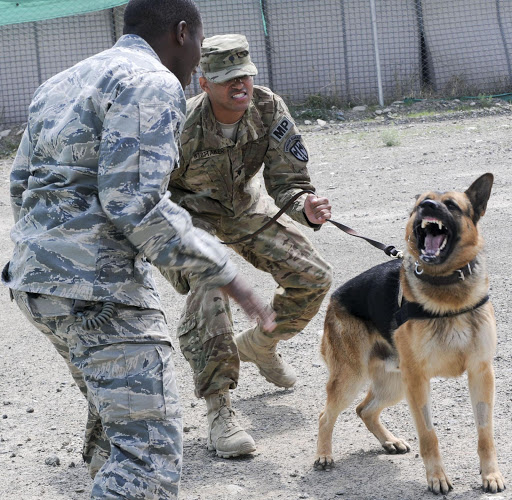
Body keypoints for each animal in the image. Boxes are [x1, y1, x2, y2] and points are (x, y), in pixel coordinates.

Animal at [314, 174, 506, 494]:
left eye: (451, 204)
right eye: (419, 205)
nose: (427, 205)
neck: (446, 289)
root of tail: (335, 296)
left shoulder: (481, 373)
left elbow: (485, 433)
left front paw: (491, 474)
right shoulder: (418, 380)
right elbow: (429, 435)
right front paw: (437, 478)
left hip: (395, 383)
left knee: (365, 409)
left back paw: (389, 441)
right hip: (354, 378)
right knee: (326, 414)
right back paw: (324, 455)